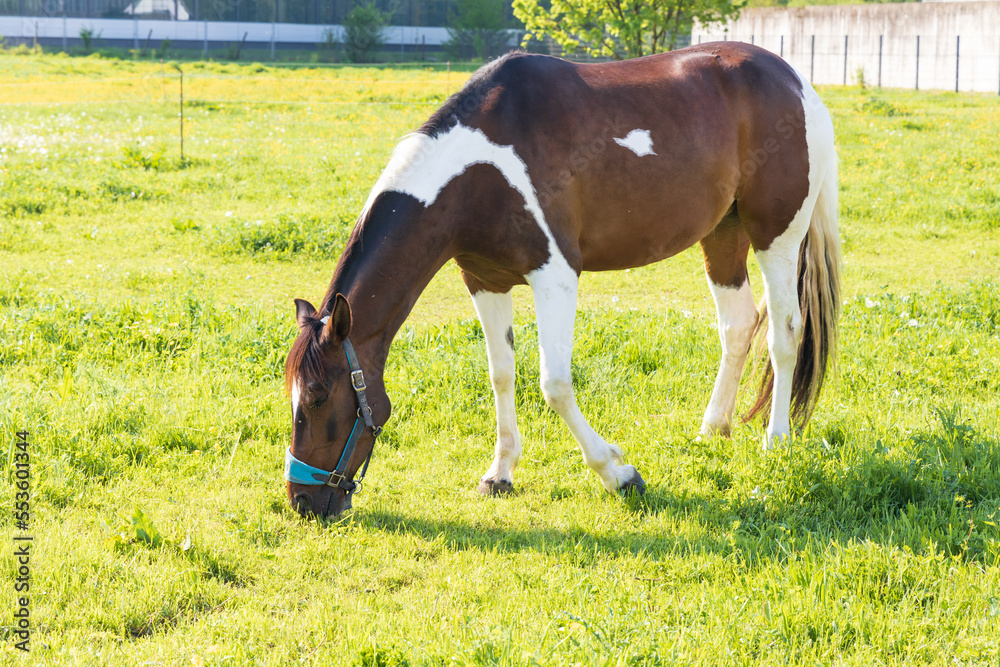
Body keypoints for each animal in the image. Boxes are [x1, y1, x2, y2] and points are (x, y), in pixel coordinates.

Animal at [283, 42, 841, 518]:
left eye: (316, 397)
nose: (302, 501)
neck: (479, 167)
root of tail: (795, 81)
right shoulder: (485, 280)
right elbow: (502, 374)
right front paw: (500, 472)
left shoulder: (555, 277)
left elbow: (554, 384)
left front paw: (619, 474)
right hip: (723, 236)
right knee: (739, 326)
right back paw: (711, 430)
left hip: (776, 236)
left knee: (784, 333)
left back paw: (776, 441)